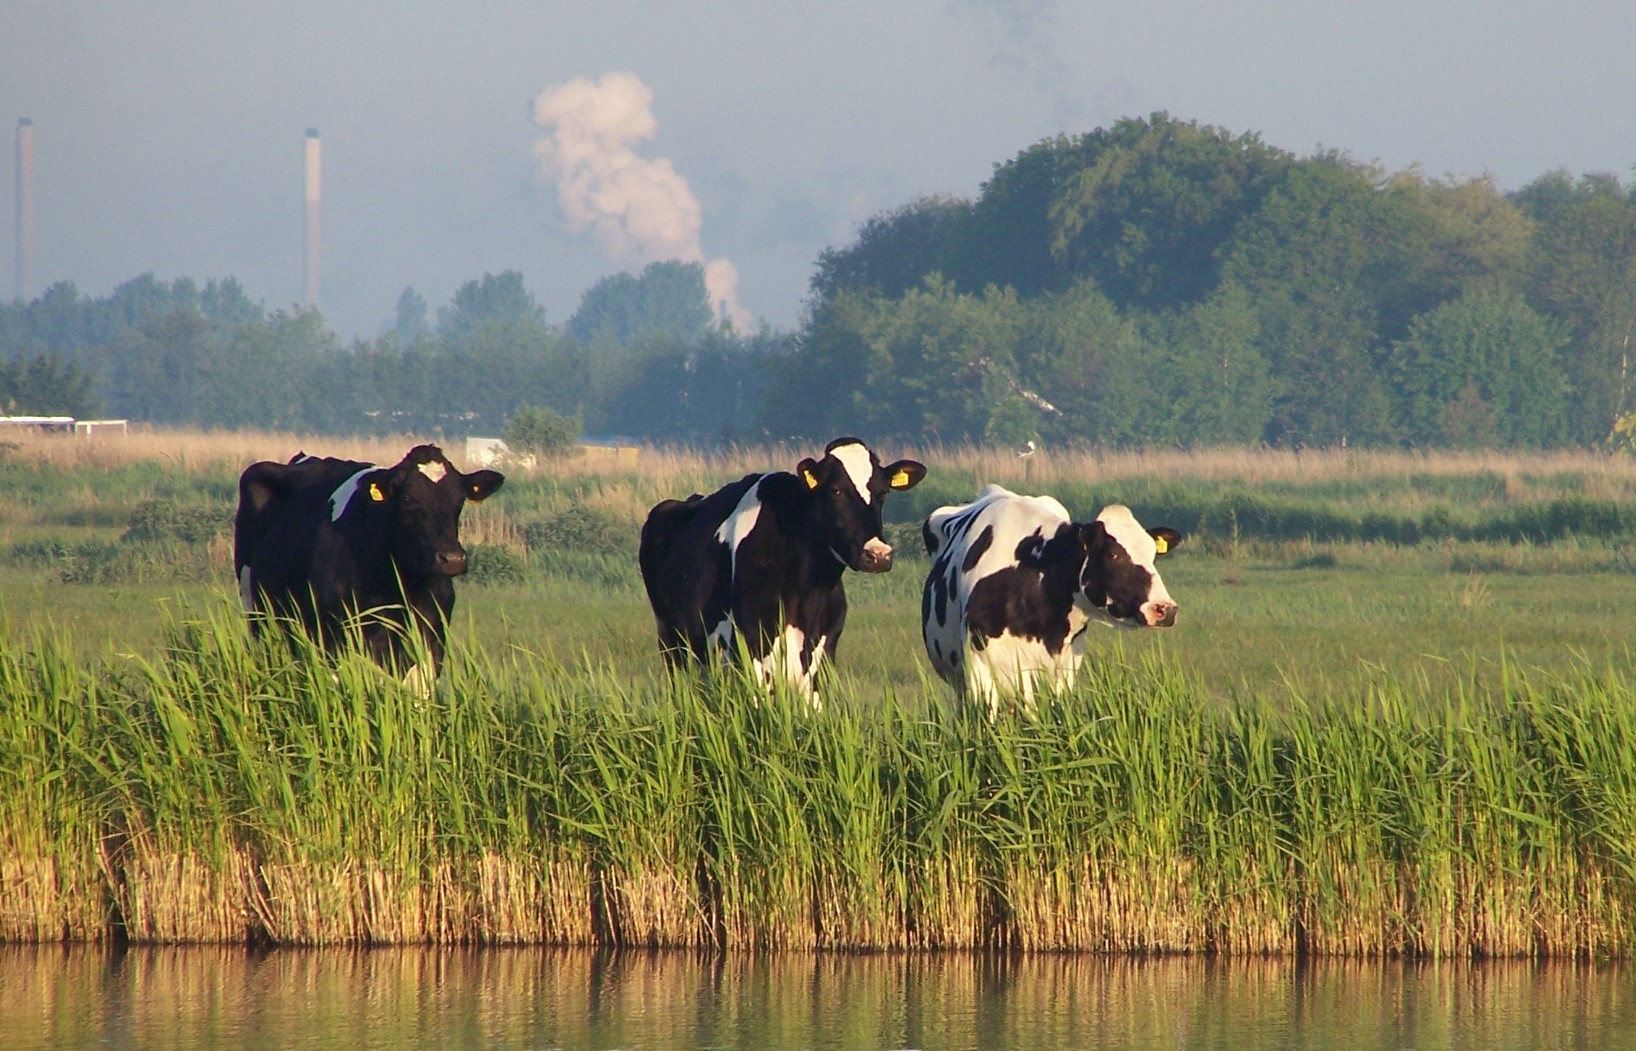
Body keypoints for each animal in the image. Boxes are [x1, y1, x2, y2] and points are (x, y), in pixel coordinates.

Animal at [230, 442, 497, 687]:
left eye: (459, 501)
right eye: (407, 497)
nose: (452, 559)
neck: (398, 587)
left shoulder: (430, 643)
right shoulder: (332, 638)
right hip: (259, 615)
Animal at [634, 432, 929, 703]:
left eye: (883, 493)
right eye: (836, 490)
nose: (878, 555)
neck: (806, 594)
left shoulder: (823, 656)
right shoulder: (750, 648)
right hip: (673, 646)